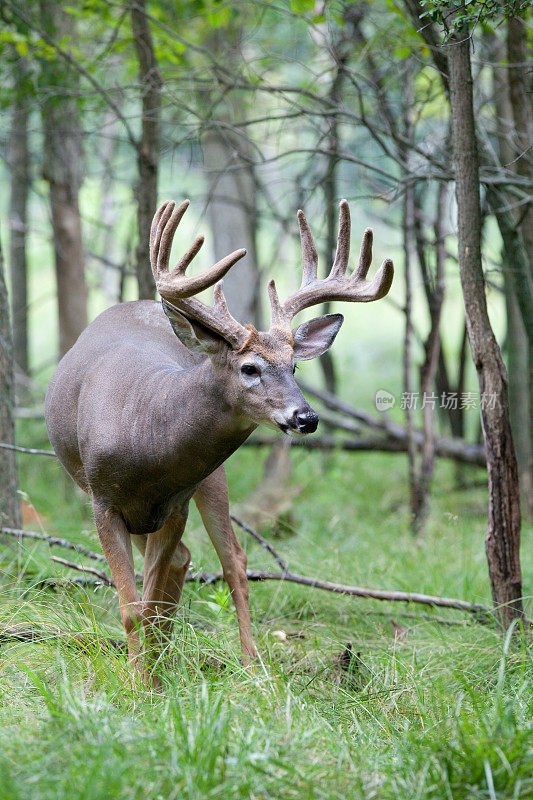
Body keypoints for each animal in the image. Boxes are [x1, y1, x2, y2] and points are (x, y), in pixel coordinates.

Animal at [45, 198, 392, 680]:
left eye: (294, 366)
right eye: (249, 368)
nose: (306, 417)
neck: (145, 437)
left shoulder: (176, 503)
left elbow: (151, 597)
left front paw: (149, 677)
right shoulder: (103, 500)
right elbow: (132, 608)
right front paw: (138, 681)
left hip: (212, 479)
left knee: (232, 562)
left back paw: (247, 666)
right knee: (183, 563)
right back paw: (164, 656)